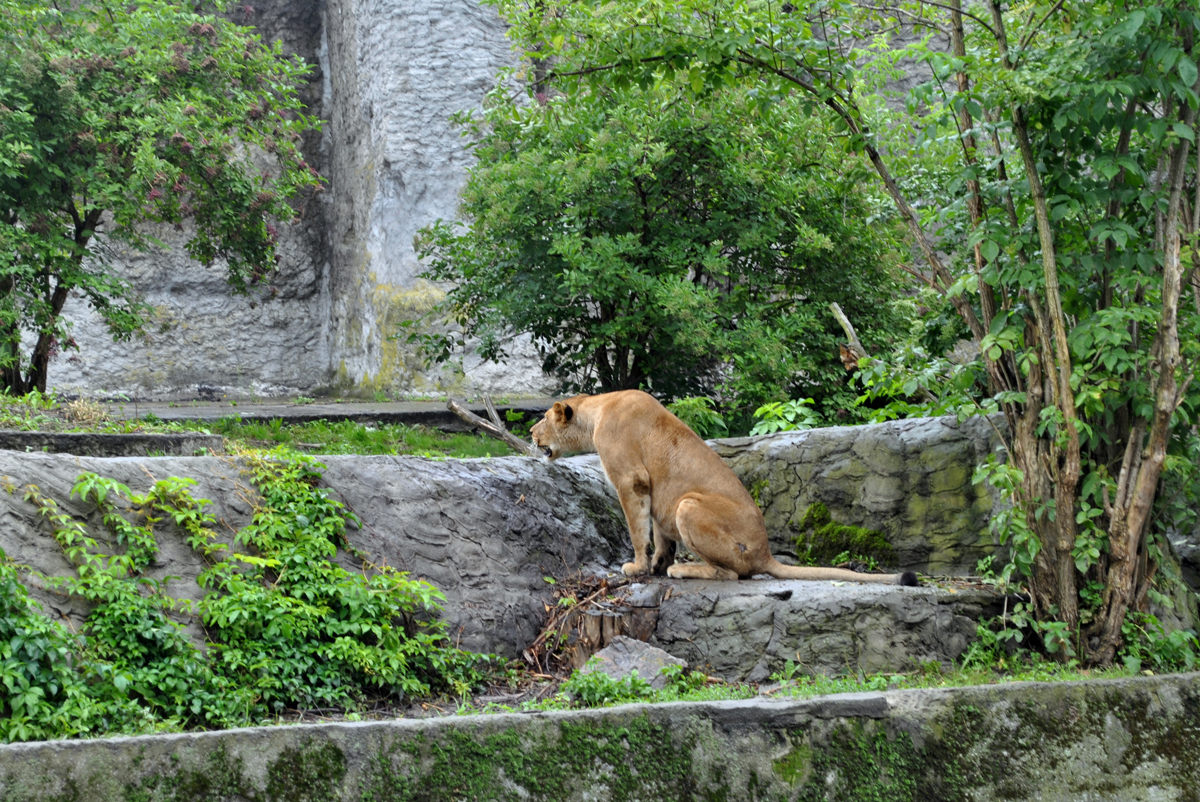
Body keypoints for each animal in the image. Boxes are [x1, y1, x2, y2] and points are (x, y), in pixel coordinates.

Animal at [531, 390, 917, 585]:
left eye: (544, 418)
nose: (531, 433)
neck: (596, 410)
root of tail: (766, 553)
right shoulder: (655, 489)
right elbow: (659, 532)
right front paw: (656, 563)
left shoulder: (632, 479)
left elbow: (638, 529)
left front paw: (638, 567)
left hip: (688, 504)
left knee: (733, 573)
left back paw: (684, 570)